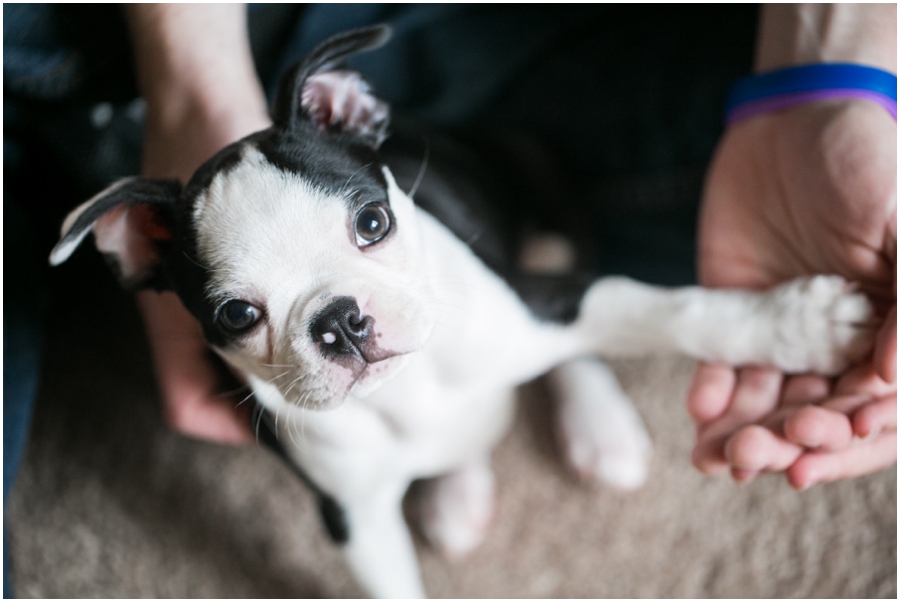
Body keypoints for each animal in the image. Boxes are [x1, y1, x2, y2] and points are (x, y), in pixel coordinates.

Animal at [49, 27, 872, 596]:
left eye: (372, 223)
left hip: (545, 196)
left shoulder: (544, 301)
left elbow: (674, 311)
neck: (408, 391)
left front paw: (803, 326)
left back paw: (598, 427)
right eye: (235, 316)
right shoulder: (354, 516)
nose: (340, 320)